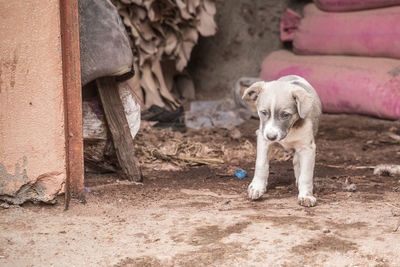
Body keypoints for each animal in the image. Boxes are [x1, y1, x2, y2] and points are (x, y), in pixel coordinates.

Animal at [241, 75, 322, 207]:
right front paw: (257, 187)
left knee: (297, 162)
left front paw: (306, 196)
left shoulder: (307, 147)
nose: (271, 137)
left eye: (285, 115)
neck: (290, 130)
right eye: (263, 112)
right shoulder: (263, 139)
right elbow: (261, 164)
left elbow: (306, 174)